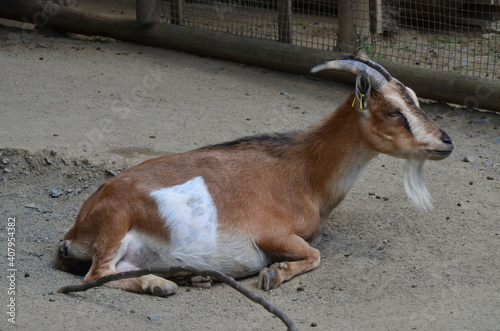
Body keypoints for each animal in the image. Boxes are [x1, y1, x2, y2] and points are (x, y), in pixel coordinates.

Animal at [54, 56, 454, 296]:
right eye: (393, 111)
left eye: (415, 100)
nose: (445, 142)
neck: (302, 173)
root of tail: (75, 232)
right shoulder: (271, 234)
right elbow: (314, 255)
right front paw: (273, 274)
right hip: (116, 221)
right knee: (97, 274)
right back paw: (161, 284)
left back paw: (187, 275)